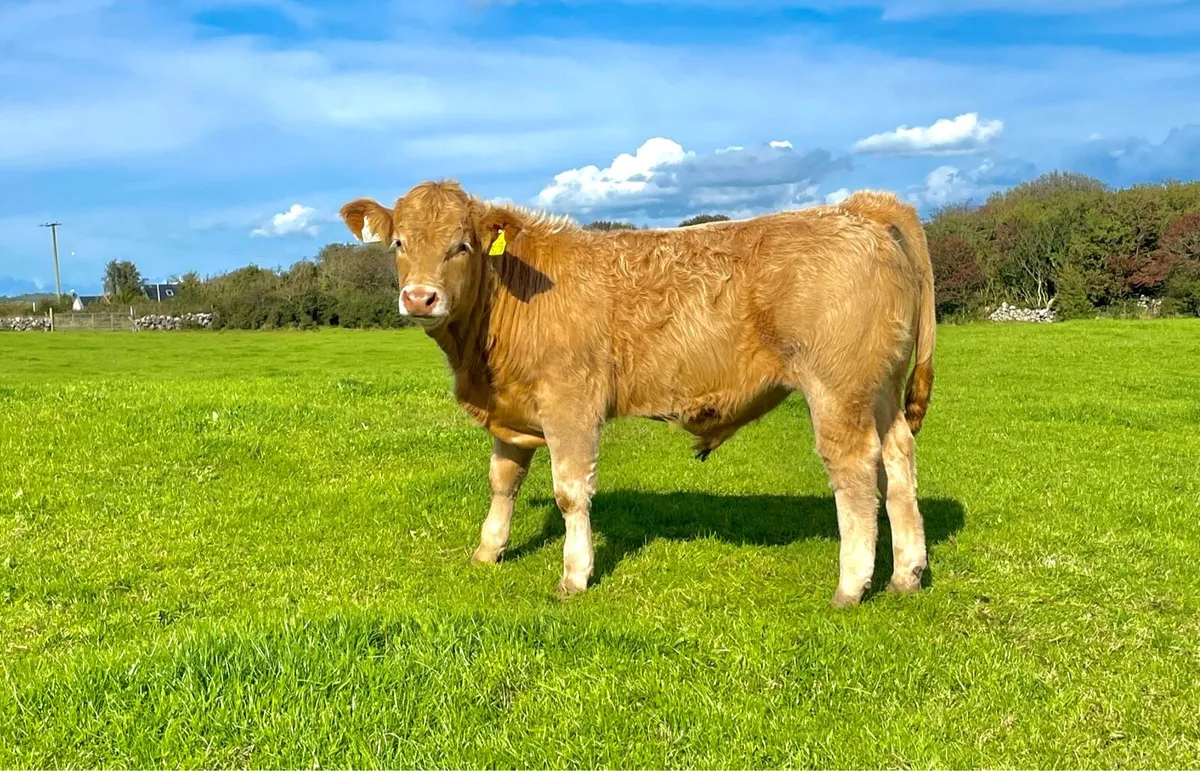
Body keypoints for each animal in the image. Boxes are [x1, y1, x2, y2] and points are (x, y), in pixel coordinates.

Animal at [339, 181, 936, 607]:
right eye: (399, 244)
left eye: (461, 245)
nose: (420, 298)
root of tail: (858, 209)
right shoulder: (512, 411)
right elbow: (502, 482)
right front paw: (488, 551)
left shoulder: (570, 405)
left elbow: (570, 493)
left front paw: (574, 576)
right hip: (880, 390)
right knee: (898, 461)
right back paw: (906, 574)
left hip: (837, 389)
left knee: (855, 471)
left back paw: (852, 586)